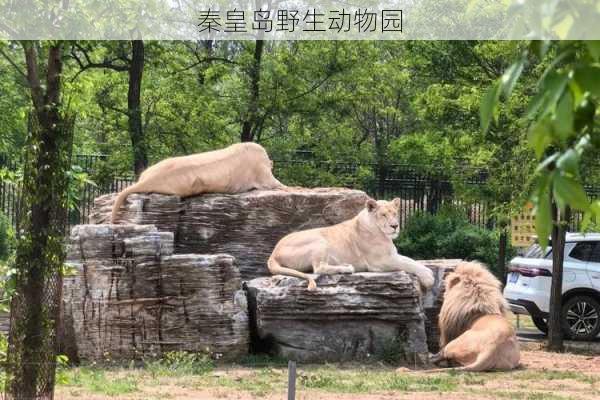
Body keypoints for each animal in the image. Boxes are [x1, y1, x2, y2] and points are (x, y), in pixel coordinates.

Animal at [268, 199, 436, 290]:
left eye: (395, 214)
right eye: (383, 215)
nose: (395, 226)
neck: (383, 234)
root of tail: (273, 253)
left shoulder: (392, 255)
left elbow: (411, 261)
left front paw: (427, 271)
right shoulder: (380, 262)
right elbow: (408, 264)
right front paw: (429, 278)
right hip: (320, 240)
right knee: (319, 268)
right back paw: (347, 268)